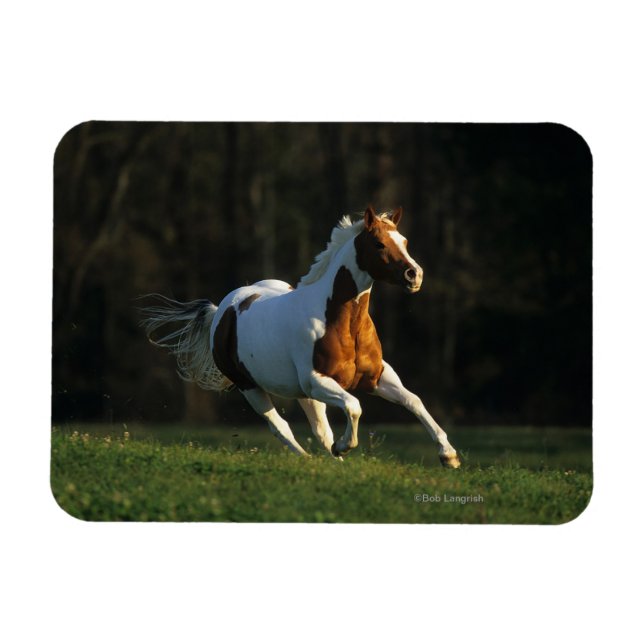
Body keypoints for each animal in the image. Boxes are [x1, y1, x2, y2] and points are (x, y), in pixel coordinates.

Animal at [140, 206, 461, 468]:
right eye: (379, 243)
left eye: (404, 242)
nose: (414, 275)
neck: (342, 323)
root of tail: (223, 310)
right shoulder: (317, 381)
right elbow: (354, 406)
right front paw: (344, 447)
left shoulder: (377, 376)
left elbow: (413, 401)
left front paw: (449, 456)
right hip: (252, 388)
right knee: (280, 426)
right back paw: (310, 458)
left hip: (303, 395)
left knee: (319, 429)